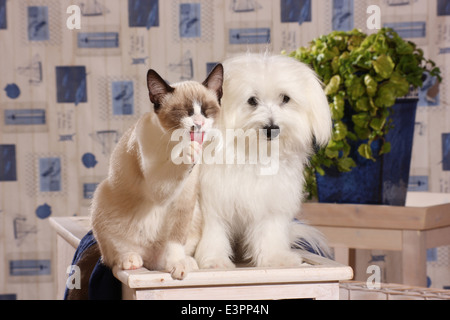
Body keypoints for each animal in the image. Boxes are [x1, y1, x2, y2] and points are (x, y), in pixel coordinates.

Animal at [90, 63, 224, 278]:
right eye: (184, 111)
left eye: (205, 110)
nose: (198, 124)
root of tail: (150, 262)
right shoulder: (157, 187)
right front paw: (188, 151)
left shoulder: (183, 201)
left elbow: (175, 241)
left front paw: (177, 266)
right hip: (101, 196)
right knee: (113, 256)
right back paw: (130, 260)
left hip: (195, 214)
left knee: (169, 254)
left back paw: (186, 262)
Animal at [195, 53, 332, 268]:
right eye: (252, 100)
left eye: (285, 98)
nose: (271, 128)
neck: (254, 152)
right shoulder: (212, 202)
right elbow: (213, 232)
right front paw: (214, 260)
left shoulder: (271, 203)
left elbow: (269, 232)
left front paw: (274, 258)